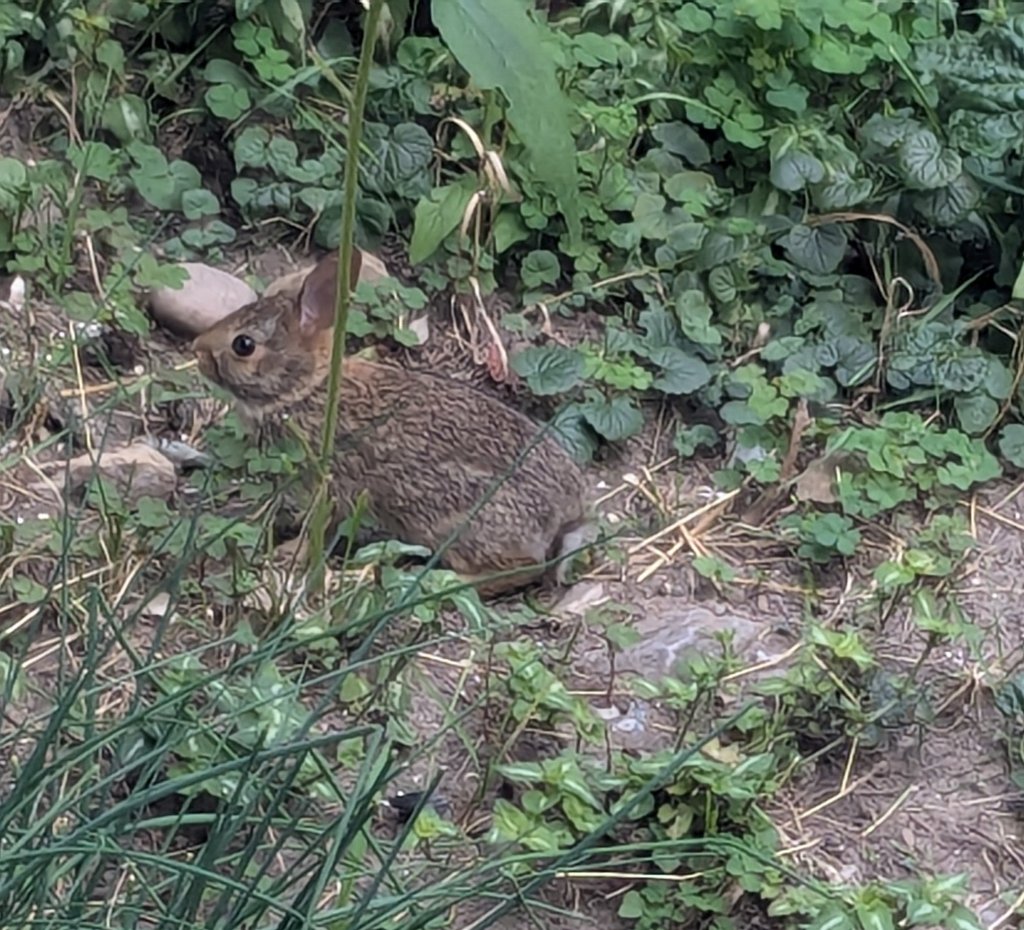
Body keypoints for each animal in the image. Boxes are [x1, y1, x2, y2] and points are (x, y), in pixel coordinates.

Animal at [193, 250, 593, 594]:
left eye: (243, 345)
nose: (197, 350)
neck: (306, 388)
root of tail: (569, 515)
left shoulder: (329, 484)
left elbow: (317, 527)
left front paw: (285, 553)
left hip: (452, 521)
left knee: (521, 569)